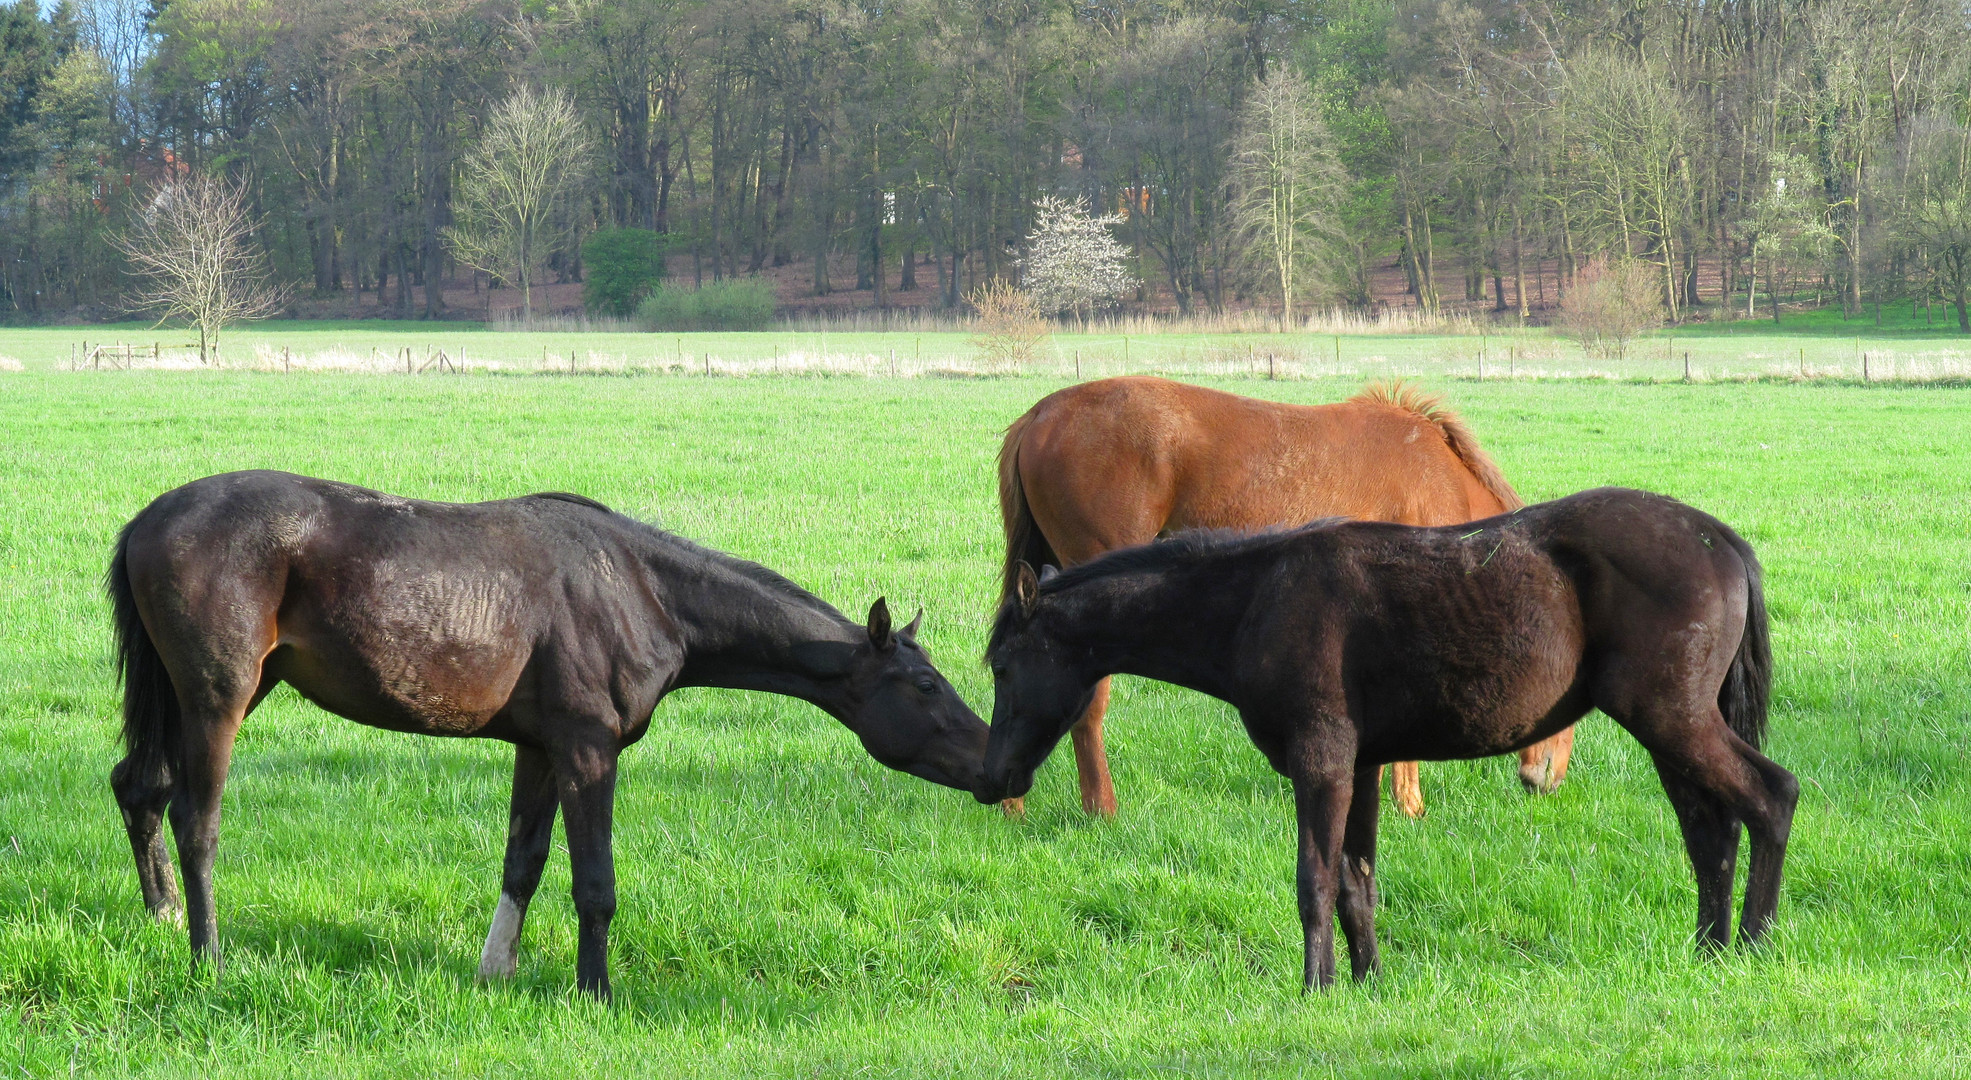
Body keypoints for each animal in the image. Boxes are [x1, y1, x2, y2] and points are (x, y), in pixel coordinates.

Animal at [107, 471, 985, 997]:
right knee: (194, 819)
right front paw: (595, 992)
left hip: (212, 699)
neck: (638, 588)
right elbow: (594, 883)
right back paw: (208, 956)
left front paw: (496, 971)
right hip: (218, 700)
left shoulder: (537, 748)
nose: (994, 763)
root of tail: (149, 517)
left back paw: (164, 918)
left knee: (138, 788)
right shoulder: (587, 751)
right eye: (924, 685)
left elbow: (522, 863)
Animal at [977, 484, 1797, 993]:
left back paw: (1754, 944)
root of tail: (1720, 540)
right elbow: (1355, 882)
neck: (1256, 602)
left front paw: (1315, 989)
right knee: (1710, 833)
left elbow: (1313, 880)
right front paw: (1367, 982)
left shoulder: (1321, 764)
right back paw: (1709, 950)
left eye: (1004, 666)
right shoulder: (1363, 766)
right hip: (1671, 732)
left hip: (1672, 720)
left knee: (1770, 797)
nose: (992, 780)